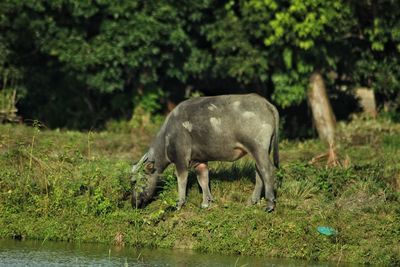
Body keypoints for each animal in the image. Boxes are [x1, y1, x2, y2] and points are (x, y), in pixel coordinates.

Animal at [131, 94, 278, 214]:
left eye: (136, 181)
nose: (134, 204)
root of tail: (266, 103)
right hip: (261, 150)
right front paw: (206, 203)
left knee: (267, 170)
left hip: (257, 147)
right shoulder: (199, 161)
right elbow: (203, 180)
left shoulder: (181, 159)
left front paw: (179, 204)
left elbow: (182, 180)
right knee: (259, 171)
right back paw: (253, 201)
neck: (167, 137)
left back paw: (269, 204)